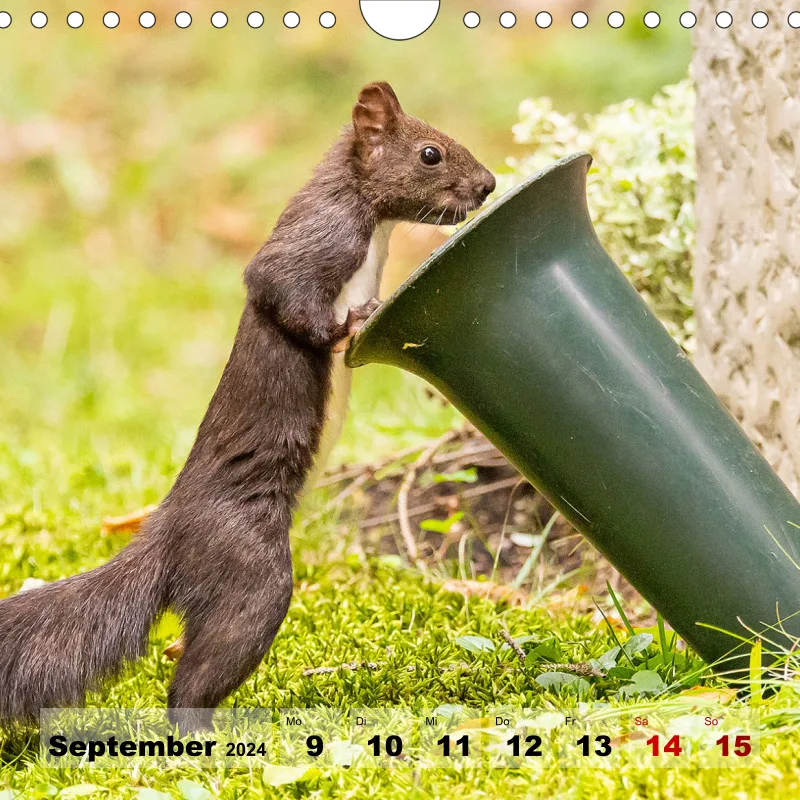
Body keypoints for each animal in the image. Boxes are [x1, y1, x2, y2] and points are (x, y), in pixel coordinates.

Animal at [0, 82, 495, 732]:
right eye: (430, 152)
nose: (488, 184)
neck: (376, 234)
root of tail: (168, 530)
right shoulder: (314, 240)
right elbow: (282, 291)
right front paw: (355, 320)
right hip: (251, 572)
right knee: (196, 677)